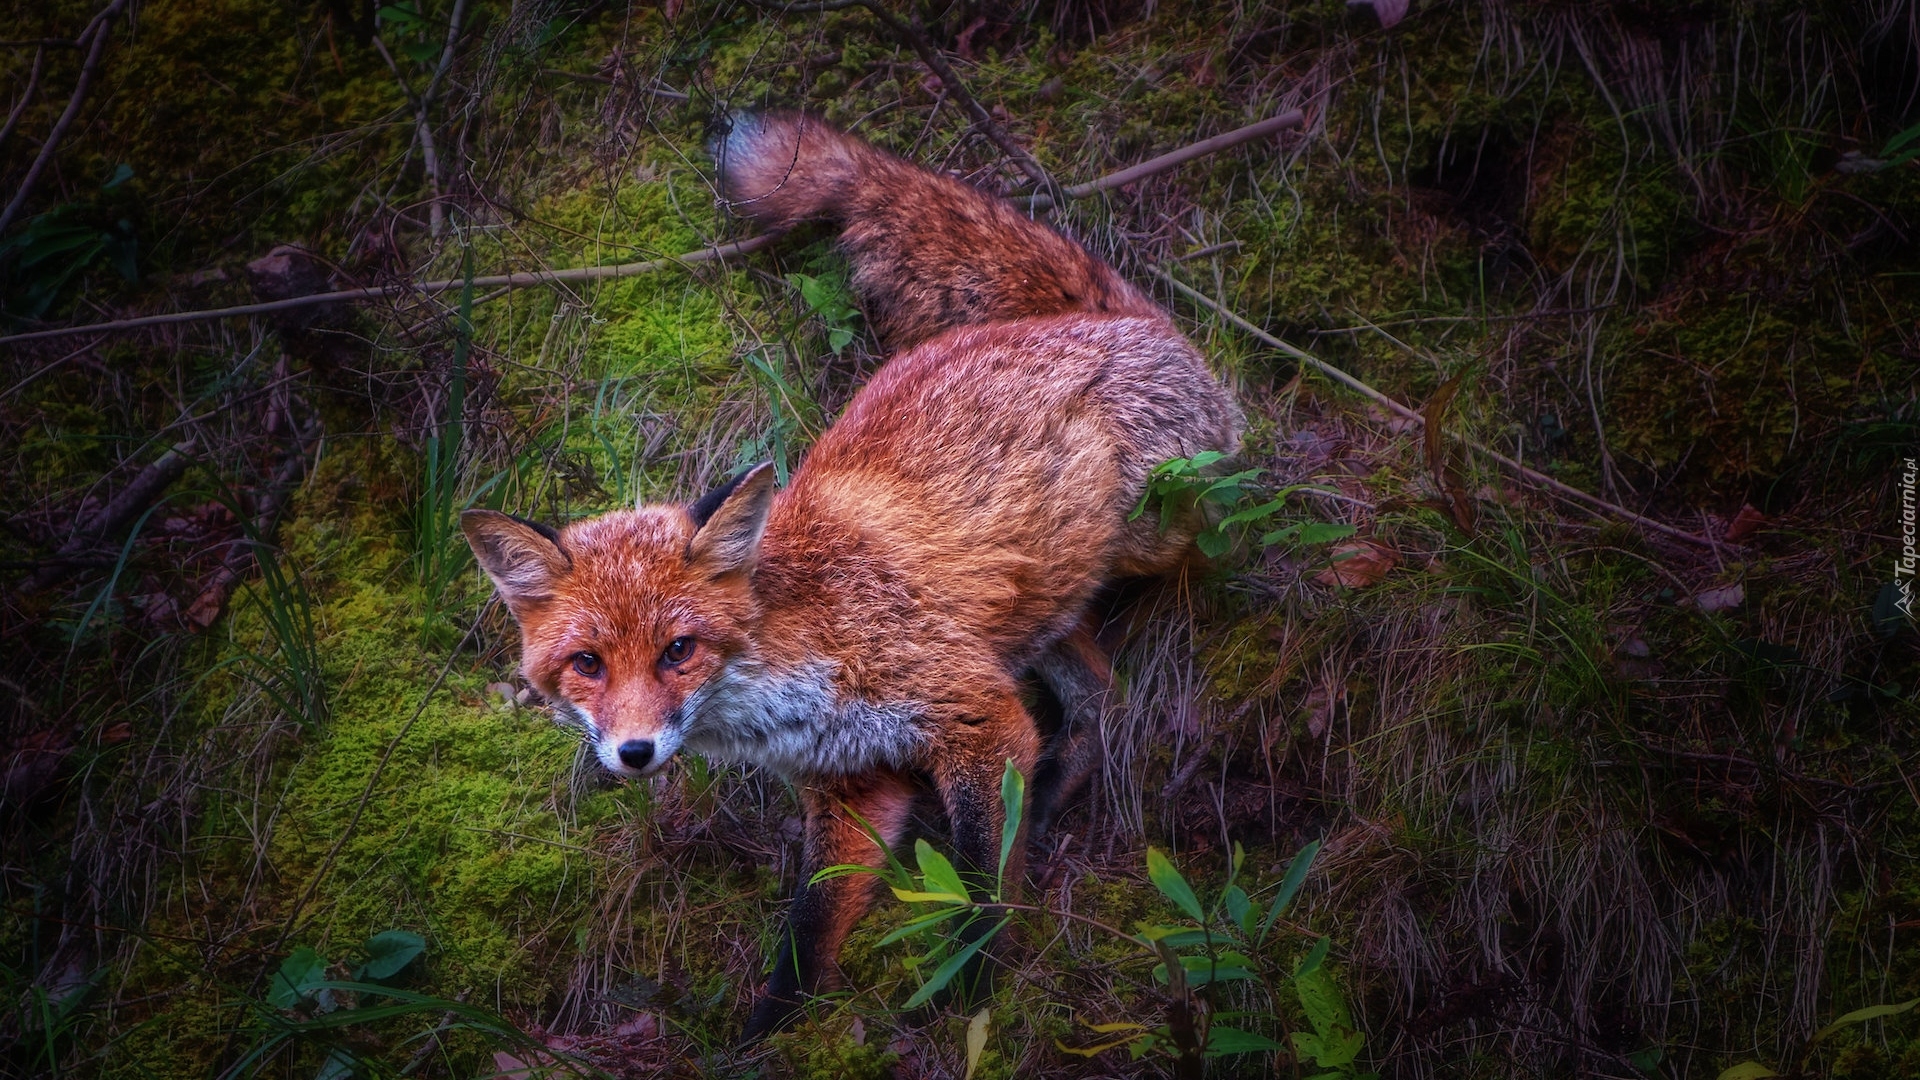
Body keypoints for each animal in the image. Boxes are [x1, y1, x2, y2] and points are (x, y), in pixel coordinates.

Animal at [464, 111, 1244, 1037]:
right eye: (587, 664)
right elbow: (810, 927)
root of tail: (1102, 317)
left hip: (1154, 527)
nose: (635, 752)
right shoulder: (851, 786)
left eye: (678, 650)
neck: (793, 678)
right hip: (1032, 612)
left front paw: (973, 994)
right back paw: (1056, 789)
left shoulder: (975, 715)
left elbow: (981, 884)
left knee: (1216, 538)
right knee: (1100, 694)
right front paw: (767, 1033)